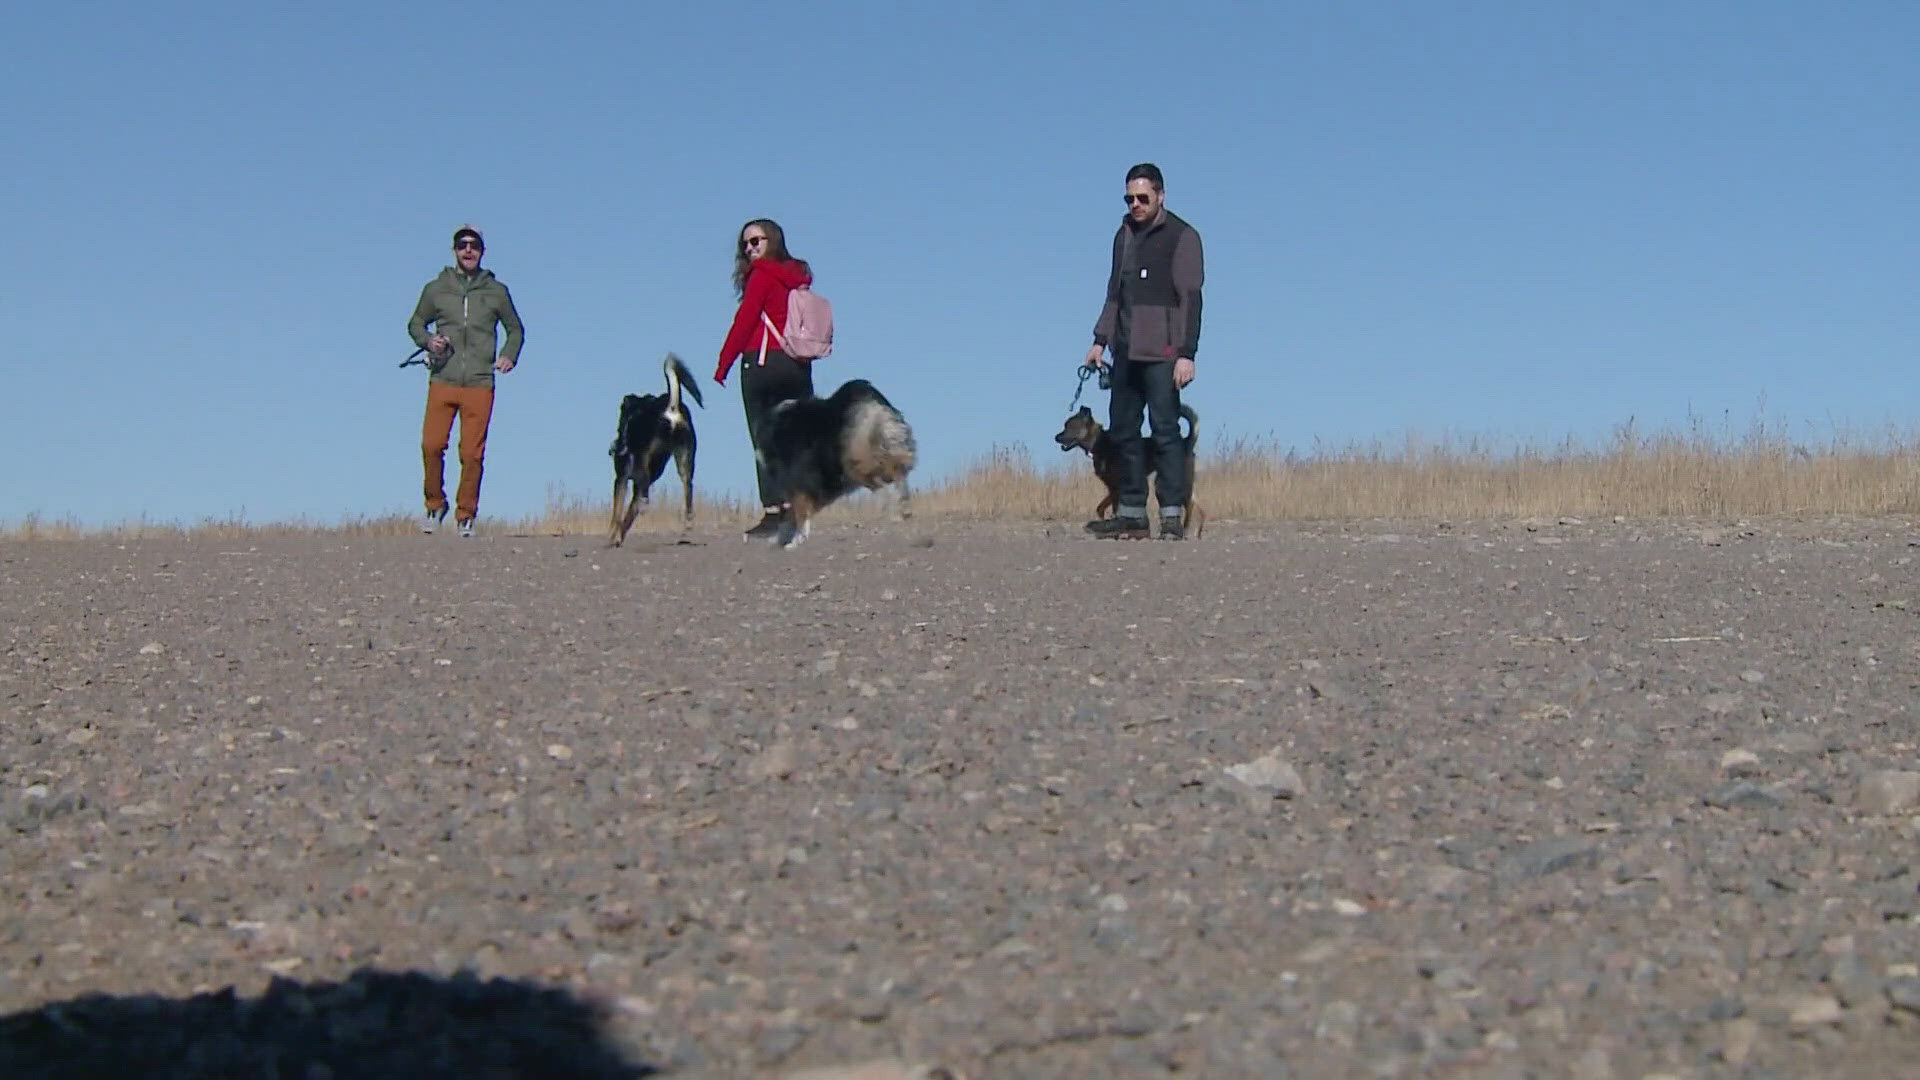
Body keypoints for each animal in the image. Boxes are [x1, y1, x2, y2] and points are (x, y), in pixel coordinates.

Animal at [602, 349, 702, 541]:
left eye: (622, 417)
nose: (615, 447)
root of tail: (671, 408)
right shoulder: (634, 486)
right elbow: (627, 516)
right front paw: (619, 536)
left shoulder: (621, 479)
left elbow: (617, 514)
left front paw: (612, 536)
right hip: (685, 461)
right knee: (687, 488)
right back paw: (687, 521)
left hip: (644, 458)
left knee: (645, 491)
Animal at [752, 378, 917, 545]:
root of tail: (873, 405)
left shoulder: (796, 478)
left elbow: (799, 511)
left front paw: (796, 540)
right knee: (896, 476)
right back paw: (902, 509)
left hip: (856, 461)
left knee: (884, 484)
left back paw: (892, 512)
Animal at [1059, 401, 1205, 534]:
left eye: (1069, 427)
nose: (1056, 437)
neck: (1098, 442)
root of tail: (1186, 441)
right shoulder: (1112, 487)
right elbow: (1101, 507)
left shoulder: (1117, 487)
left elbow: (1114, 509)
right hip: (1187, 483)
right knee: (1198, 506)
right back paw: (1198, 532)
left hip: (1178, 481)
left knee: (1190, 505)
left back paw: (1186, 528)